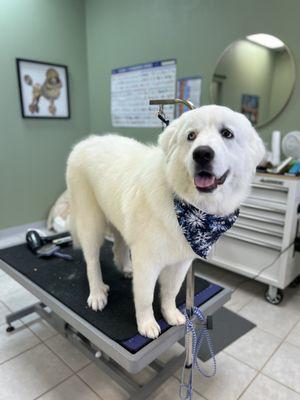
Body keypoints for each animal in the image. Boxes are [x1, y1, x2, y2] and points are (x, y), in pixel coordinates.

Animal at [66, 105, 264, 338]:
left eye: (227, 134)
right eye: (191, 136)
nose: (202, 153)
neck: (190, 207)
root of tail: (84, 143)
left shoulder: (181, 263)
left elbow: (170, 292)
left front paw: (171, 315)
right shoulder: (147, 262)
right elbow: (144, 297)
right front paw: (147, 325)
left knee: (118, 247)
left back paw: (126, 268)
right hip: (91, 222)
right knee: (92, 261)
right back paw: (97, 293)